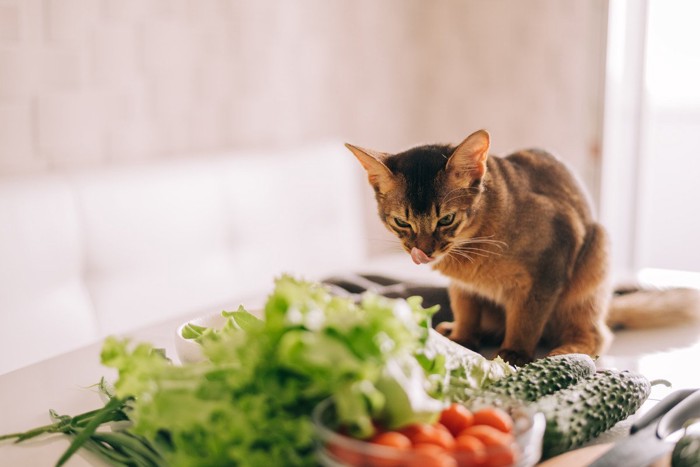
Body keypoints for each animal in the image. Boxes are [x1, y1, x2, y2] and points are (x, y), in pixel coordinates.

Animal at [346, 130, 700, 368]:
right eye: (401, 222)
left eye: (445, 219)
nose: (424, 251)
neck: (471, 248)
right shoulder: (462, 286)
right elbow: (465, 309)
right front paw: (463, 337)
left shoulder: (548, 267)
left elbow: (526, 319)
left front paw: (514, 353)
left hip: (596, 255)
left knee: (598, 334)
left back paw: (568, 348)